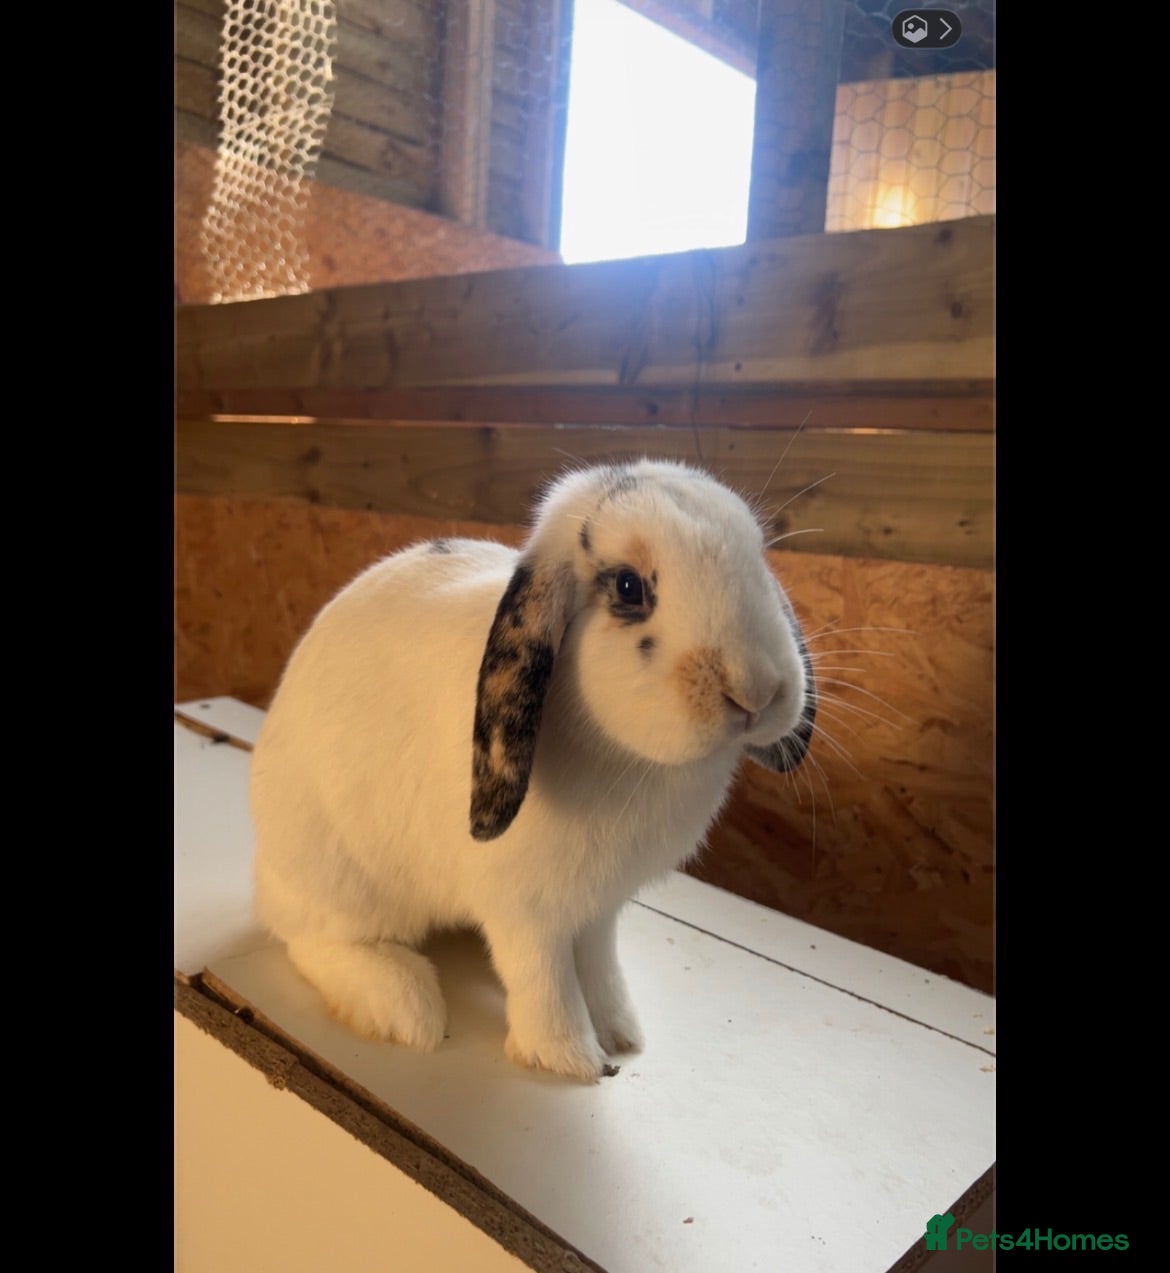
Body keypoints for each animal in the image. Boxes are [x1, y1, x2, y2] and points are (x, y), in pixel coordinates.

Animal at [249, 459, 816, 1082]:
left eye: (758, 559)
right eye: (628, 586)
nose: (757, 693)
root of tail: (266, 873)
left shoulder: (598, 909)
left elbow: (599, 966)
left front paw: (621, 1032)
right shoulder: (525, 911)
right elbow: (544, 978)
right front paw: (568, 1058)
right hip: (341, 879)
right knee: (313, 940)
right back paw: (404, 1006)